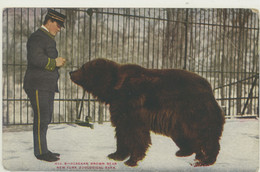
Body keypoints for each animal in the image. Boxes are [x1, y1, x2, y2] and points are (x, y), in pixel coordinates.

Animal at [69, 58, 225, 167]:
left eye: (83, 67)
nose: (71, 72)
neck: (114, 89)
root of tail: (210, 88)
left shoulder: (132, 102)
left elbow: (135, 133)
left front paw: (132, 160)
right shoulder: (120, 107)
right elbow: (121, 130)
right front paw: (116, 154)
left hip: (194, 110)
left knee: (206, 134)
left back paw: (205, 159)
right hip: (180, 119)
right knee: (187, 135)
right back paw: (187, 152)